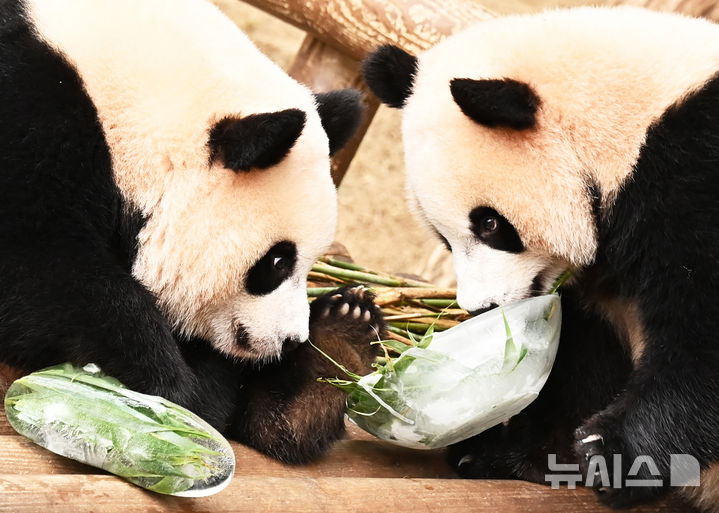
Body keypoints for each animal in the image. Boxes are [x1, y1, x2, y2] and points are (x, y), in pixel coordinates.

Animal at [0, 0, 382, 464]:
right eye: (277, 261)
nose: (292, 339)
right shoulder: (30, 115)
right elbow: (41, 270)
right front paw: (167, 381)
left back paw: (342, 337)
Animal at [366, 6, 719, 510]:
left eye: (490, 224)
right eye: (442, 237)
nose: (480, 308)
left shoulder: (693, 171)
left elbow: (701, 337)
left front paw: (614, 452)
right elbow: (586, 351)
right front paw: (522, 452)